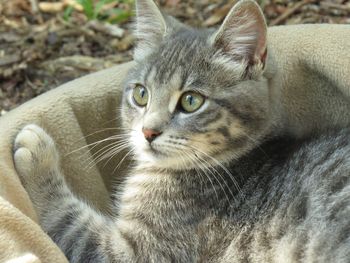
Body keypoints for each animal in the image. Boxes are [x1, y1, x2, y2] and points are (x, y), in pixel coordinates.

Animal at [12, 0, 350, 262]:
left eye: (191, 101)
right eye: (141, 94)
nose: (148, 131)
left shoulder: (134, 253)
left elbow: (68, 219)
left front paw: (38, 154)